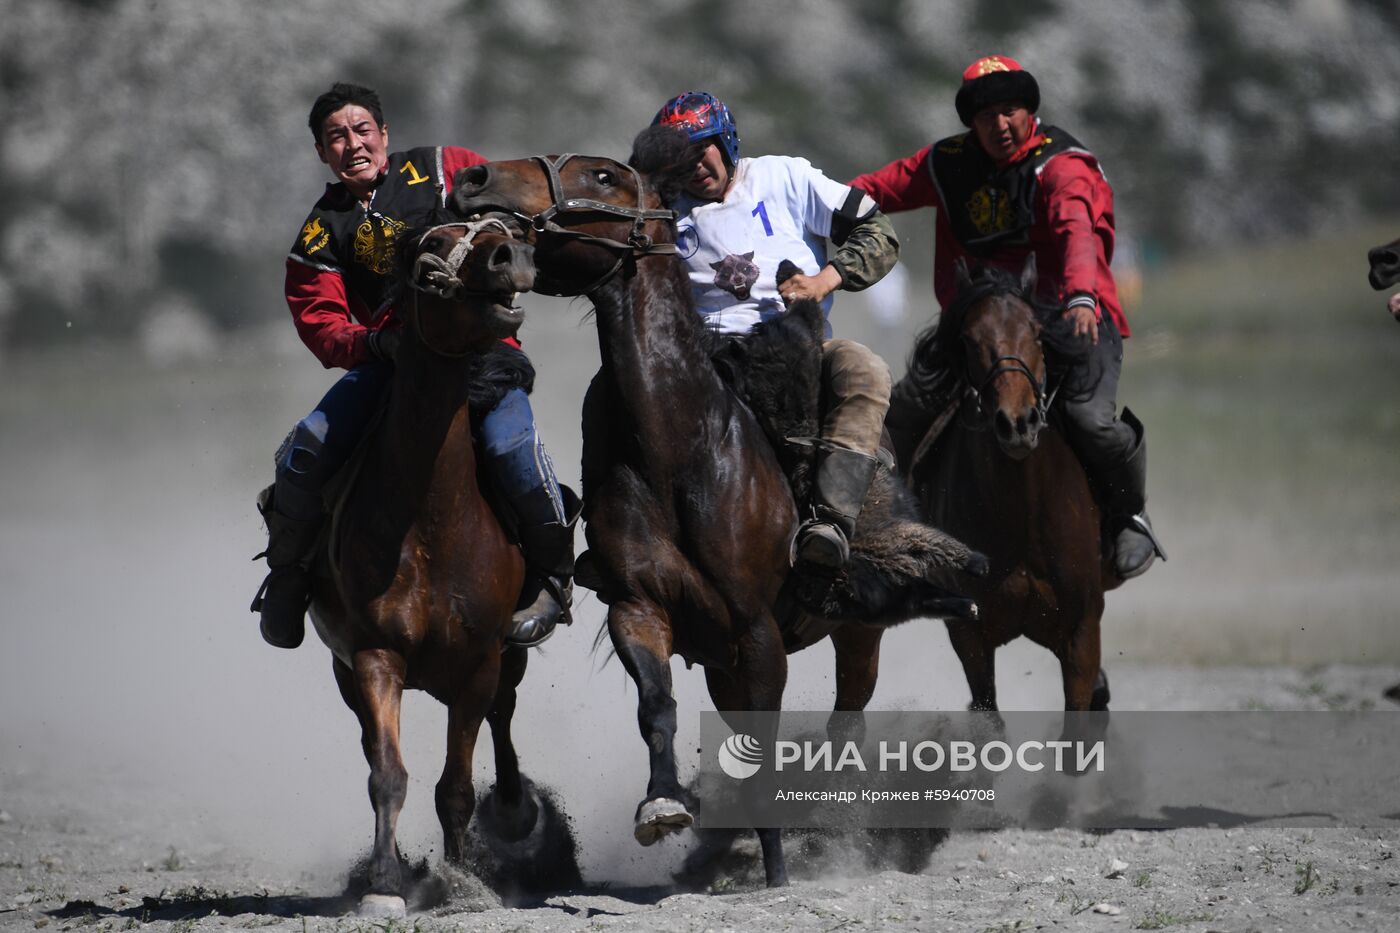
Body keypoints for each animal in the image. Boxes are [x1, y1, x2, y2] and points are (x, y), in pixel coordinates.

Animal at [303, 219, 565, 913]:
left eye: (500, 228)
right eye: (430, 257)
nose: (510, 256)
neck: (431, 519)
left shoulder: (478, 662)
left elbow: (456, 788)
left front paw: (463, 879)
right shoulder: (373, 656)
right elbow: (387, 775)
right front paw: (385, 885)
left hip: (510, 652)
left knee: (504, 718)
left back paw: (515, 815)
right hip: (347, 672)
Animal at [450, 141, 985, 885]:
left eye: (604, 175)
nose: (475, 180)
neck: (685, 452)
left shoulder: (758, 631)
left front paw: (778, 871)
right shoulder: (642, 609)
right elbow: (657, 706)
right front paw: (663, 804)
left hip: (856, 633)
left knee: (847, 718)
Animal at [907, 257, 1114, 708]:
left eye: (1036, 332)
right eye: (969, 339)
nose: (1017, 423)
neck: (1023, 513)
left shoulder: (1082, 634)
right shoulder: (969, 634)